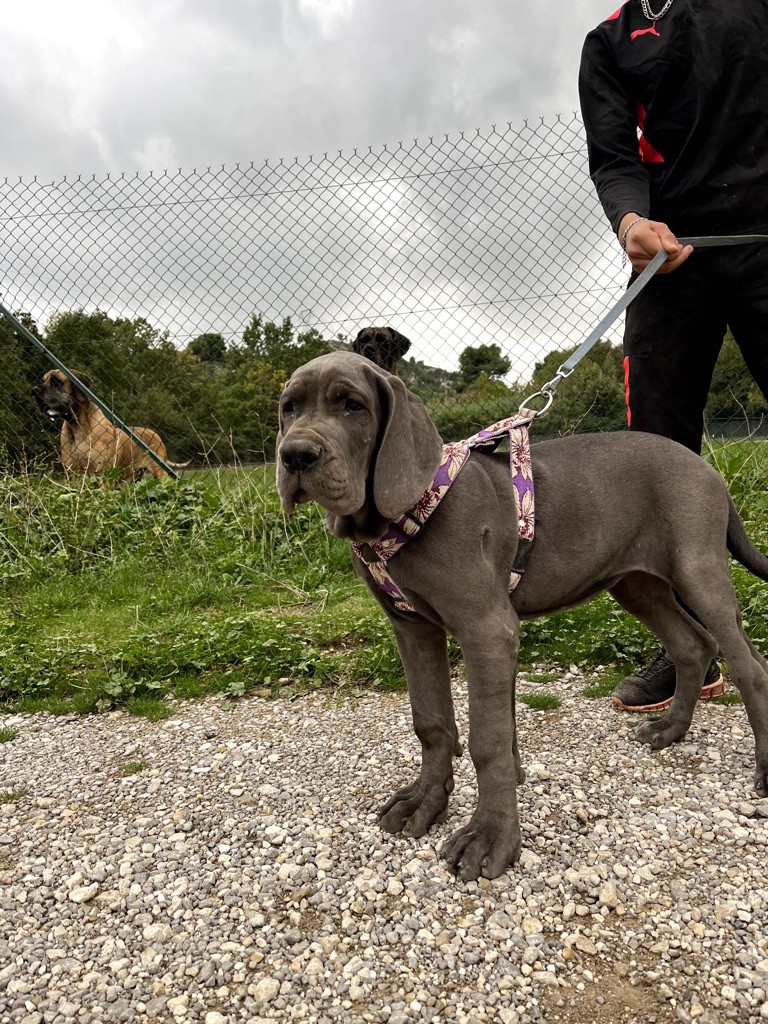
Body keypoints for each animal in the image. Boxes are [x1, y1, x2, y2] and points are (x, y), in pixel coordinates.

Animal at [280, 352, 768, 880]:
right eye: (289, 408)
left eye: (352, 405)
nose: (295, 456)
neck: (403, 514)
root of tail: (706, 467)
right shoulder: (414, 629)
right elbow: (432, 722)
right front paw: (426, 801)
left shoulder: (486, 630)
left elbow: (486, 741)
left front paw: (491, 837)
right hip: (637, 584)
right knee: (692, 645)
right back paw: (669, 730)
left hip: (698, 569)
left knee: (749, 665)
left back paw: (763, 767)